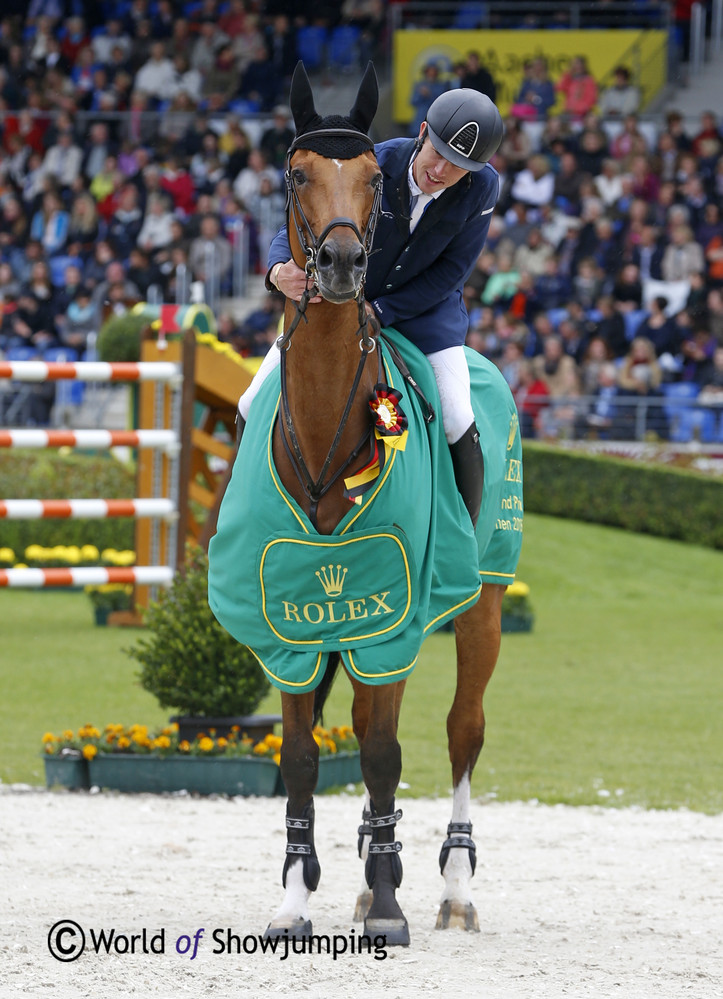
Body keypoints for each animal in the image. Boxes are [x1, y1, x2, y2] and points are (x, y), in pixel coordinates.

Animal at [206, 62, 524, 944]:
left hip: (480, 603)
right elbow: (303, 756)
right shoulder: (292, 620)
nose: (344, 264)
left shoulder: (387, 612)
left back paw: (452, 886)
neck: (324, 428)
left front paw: (385, 902)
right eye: (293, 174)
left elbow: (382, 753)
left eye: (374, 183)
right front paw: (296, 897)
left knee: (461, 730)